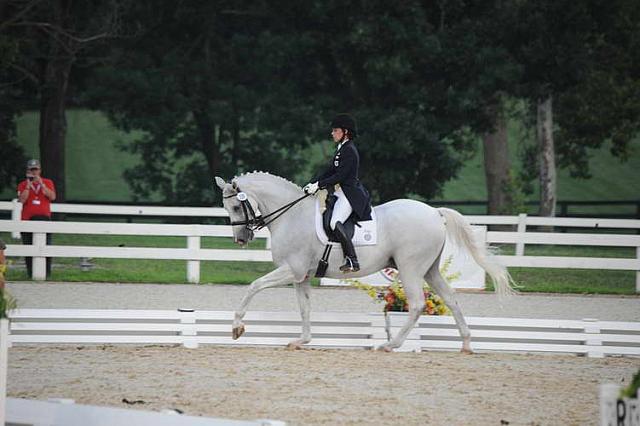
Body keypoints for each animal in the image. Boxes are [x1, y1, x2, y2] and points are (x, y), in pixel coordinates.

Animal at [215, 171, 516, 352]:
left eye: (235, 206)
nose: (240, 239)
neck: (291, 215)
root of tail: (433, 212)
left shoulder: (291, 270)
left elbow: (254, 286)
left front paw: (237, 327)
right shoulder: (302, 275)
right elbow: (304, 308)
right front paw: (302, 340)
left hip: (410, 268)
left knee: (417, 304)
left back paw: (390, 344)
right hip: (429, 269)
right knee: (451, 299)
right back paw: (466, 344)